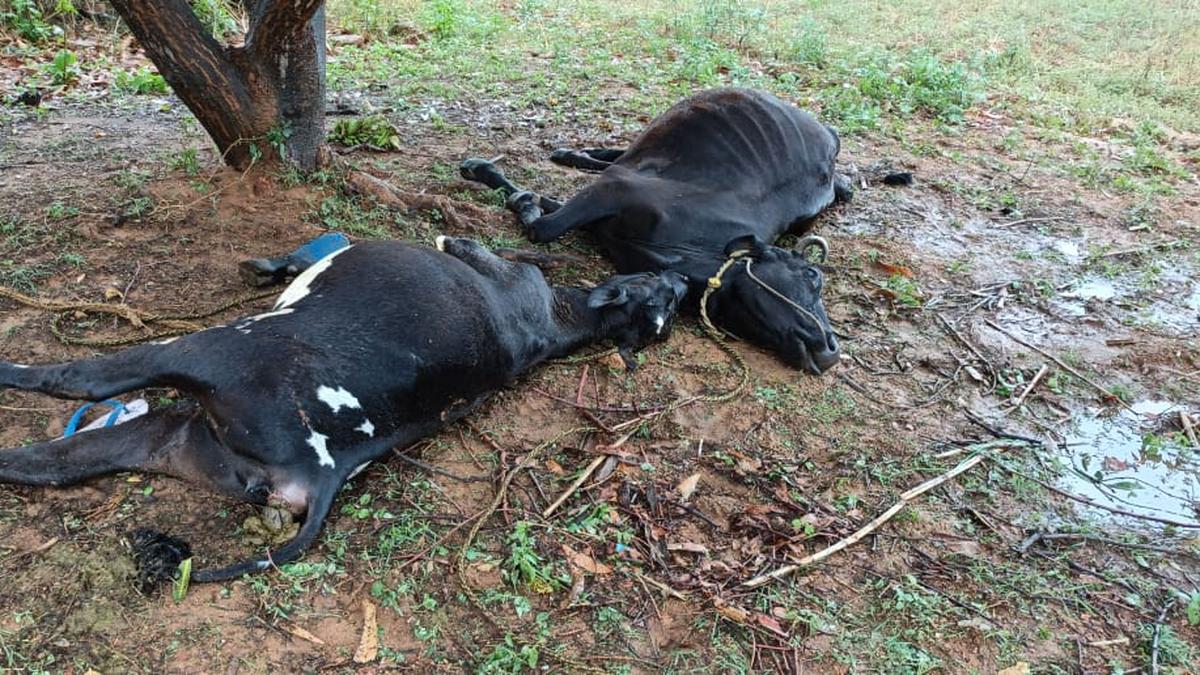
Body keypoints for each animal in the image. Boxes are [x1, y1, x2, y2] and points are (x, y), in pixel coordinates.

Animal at [0, 236, 686, 578]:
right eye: (667, 304)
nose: (684, 280)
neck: (562, 316)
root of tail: (326, 467)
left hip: (202, 350)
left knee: (73, 380)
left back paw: (14, 372)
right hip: (171, 438)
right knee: (54, 460)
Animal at [460, 85, 854, 372]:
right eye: (811, 276)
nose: (831, 350)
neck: (692, 248)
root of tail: (828, 134)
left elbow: (545, 212)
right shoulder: (615, 188)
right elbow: (543, 225)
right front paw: (487, 172)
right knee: (616, 155)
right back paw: (570, 153)